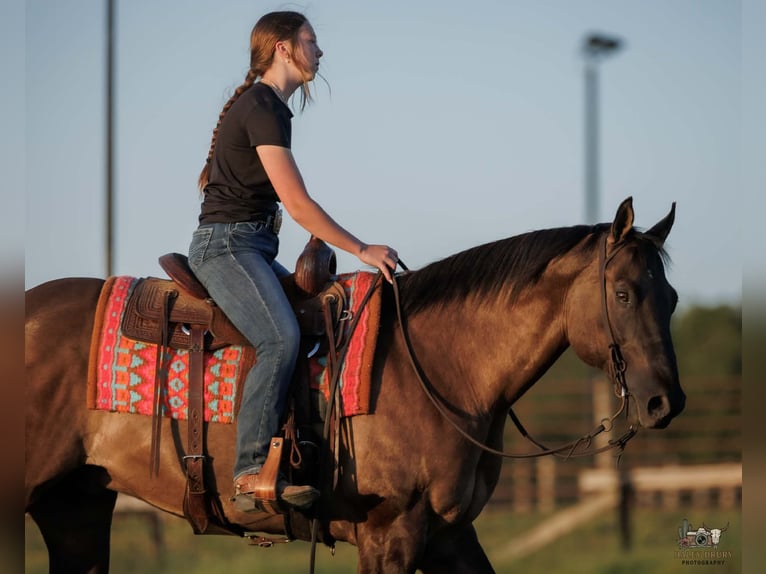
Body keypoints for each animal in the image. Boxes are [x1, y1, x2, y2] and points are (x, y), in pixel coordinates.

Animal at [25, 197, 685, 573]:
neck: (443, 369)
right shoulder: (390, 533)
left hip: (76, 507)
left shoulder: (450, 535)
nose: (665, 402)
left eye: (672, 297)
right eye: (624, 294)